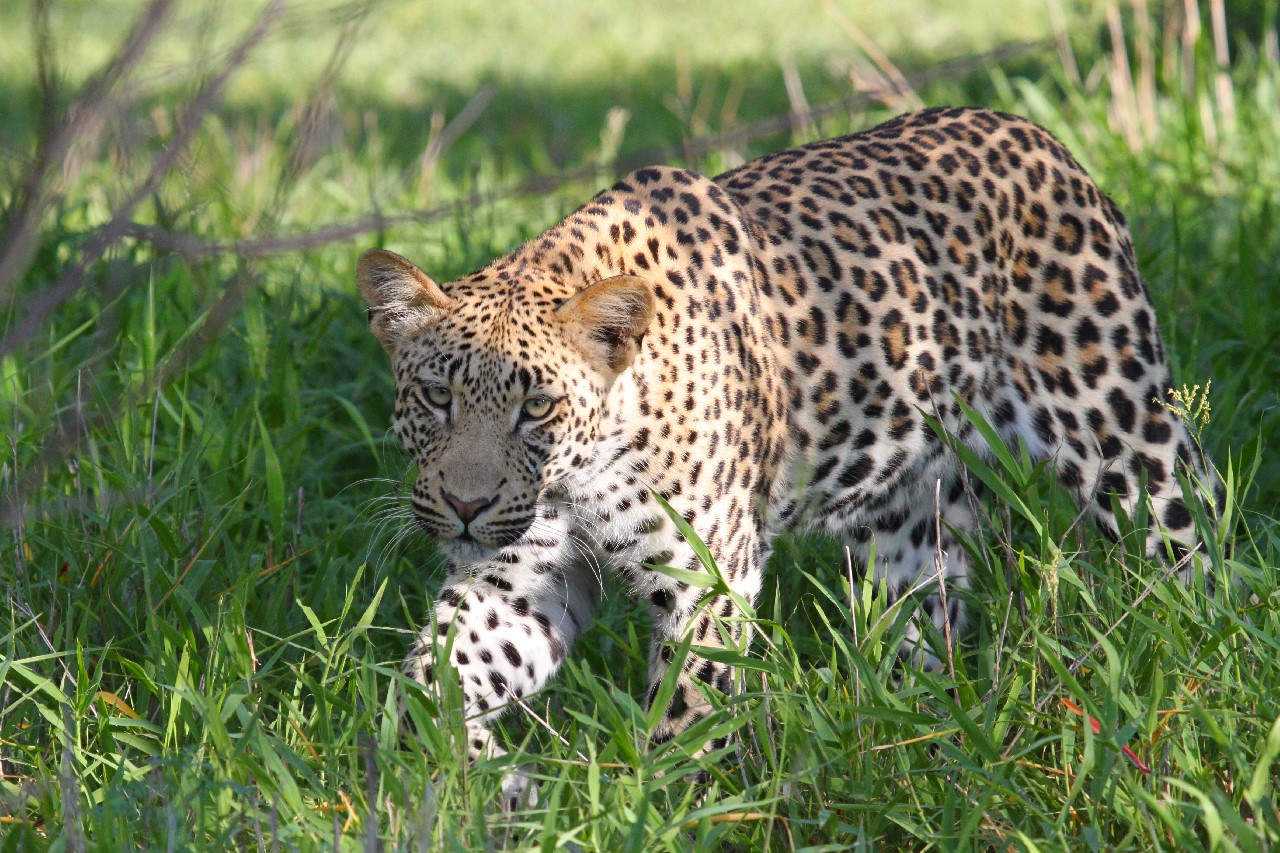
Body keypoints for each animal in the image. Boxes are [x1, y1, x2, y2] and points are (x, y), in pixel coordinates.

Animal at [356, 106, 1216, 804]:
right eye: (436, 396)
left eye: (537, 406)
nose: (466, 506)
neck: (582, 471)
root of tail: (1037, 135)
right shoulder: (522, 574)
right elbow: (432, 675)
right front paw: (482, 775)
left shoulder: (705, 574)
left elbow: (691, 706)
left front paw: (672, 805)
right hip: (908, 509)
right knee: (924, 607)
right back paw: (905, 732)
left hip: (1121, 431)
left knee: (1195, 541)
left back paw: (1204, 662)